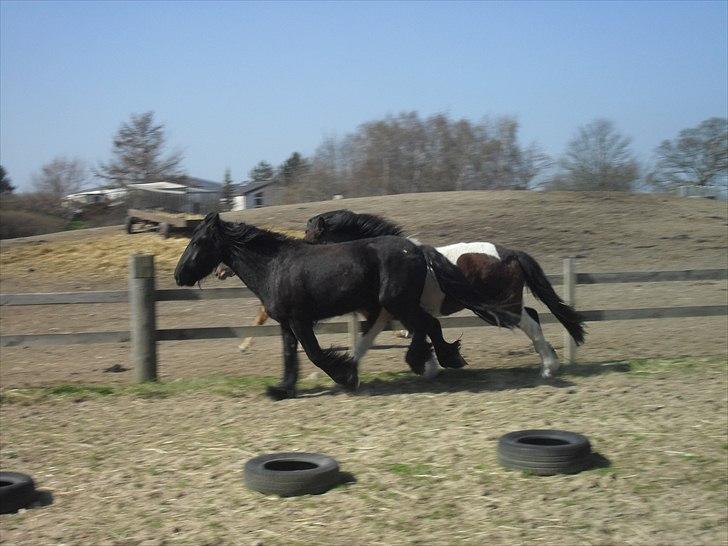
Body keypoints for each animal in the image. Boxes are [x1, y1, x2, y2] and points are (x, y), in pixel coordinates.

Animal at [175, 213, 520, 400]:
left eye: (198, 242)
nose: (179, 276)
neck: (274, 265)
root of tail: (416, 249)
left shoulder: (301, 321)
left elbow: (315, 354)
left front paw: (346, 374)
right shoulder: (286, 324)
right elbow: (289, 356)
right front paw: (282, 389)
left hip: (396, 301)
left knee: (426, 325)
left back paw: (424, 360)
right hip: (398, 303)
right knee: (429, 326)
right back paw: (443, 359)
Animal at [304, 209, 586, 379]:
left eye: (311, 241)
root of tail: (511, 254)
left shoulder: (392, 312)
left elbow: (418, 332)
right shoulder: (388, 315)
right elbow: (368, 343)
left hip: (502, 307)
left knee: (531, 324)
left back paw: (549, 368)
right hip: (505, 303)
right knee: (534, 315)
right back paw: (551, 362)